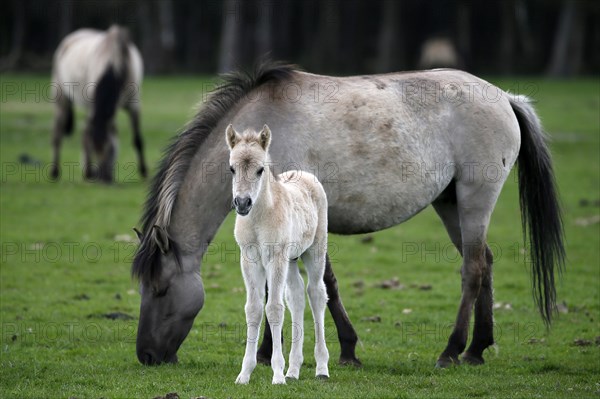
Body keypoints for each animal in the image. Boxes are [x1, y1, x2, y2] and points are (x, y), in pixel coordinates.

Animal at [50, 23, 146, 183]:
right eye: (96, 151)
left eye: (111, 149)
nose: (103, 180)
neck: (116, 63)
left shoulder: (134, 106)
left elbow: (137, 139)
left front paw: (144, 171)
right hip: (61, 100)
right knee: (58, 134)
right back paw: (56, 172)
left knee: (84, 132)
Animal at [226, 124, 328, 384]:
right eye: (232, 168)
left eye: (260, 169)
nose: (242, 203)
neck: (259, 218)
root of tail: (306, 175)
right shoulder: (249, 259)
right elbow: (253, 309)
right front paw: (244, 374)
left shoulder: (276, 258)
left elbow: (273, 308)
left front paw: (277, 375)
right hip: (291, 259)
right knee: (297, 295)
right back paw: (294, 370)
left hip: (315, 251)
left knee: (315, 293)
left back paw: (321, 367)